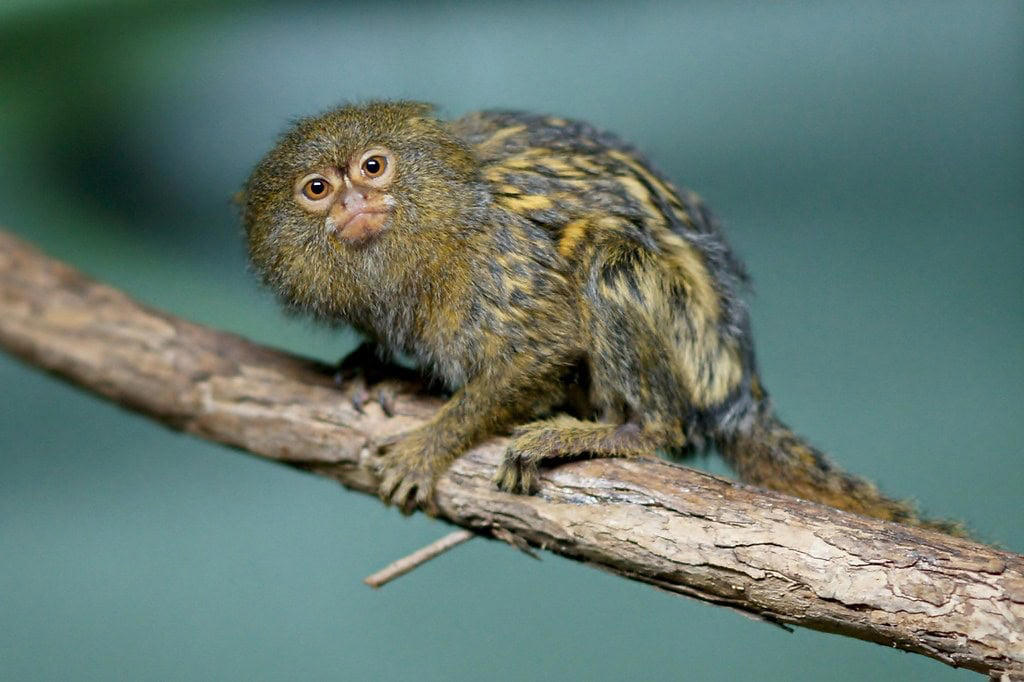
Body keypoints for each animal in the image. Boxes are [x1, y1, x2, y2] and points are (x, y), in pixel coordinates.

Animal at [242, 100, 963, 535]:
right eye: (316, 189)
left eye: (374, 166)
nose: (354, 203)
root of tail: (736, 385)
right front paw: (373, 364)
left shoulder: (501, 257)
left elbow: (542, 347)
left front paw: (431, 445)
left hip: (687, 340)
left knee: (612, 259)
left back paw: (622, 430)